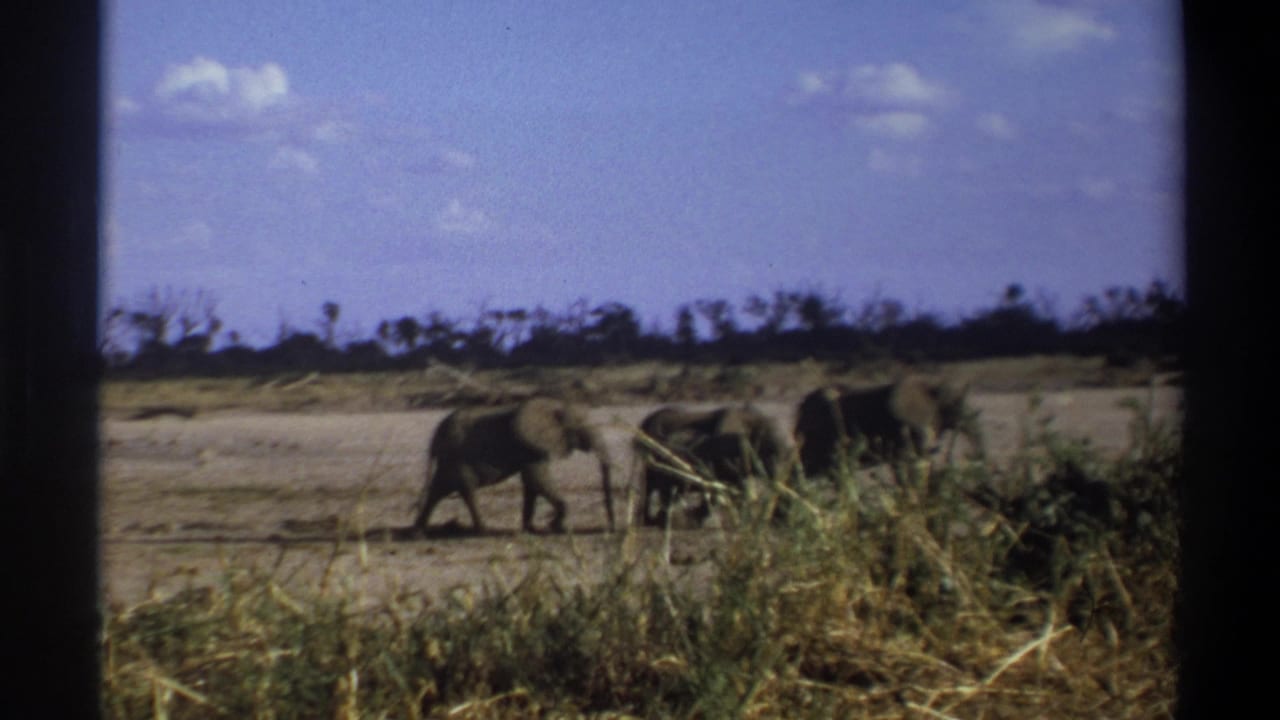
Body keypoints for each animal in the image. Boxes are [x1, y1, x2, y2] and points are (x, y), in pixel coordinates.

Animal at [413, 397, 615, 535]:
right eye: (581, 428)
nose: (611, 527)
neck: (554, 406)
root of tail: (435, 437)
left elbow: (531, 484)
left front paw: (530, 529)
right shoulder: (530, 446)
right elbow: (537, 480)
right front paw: (553, 526)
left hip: (448, 459)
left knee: (438, 490)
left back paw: (418, 532)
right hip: (457, 457)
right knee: (466, 490)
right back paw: (484, 531)